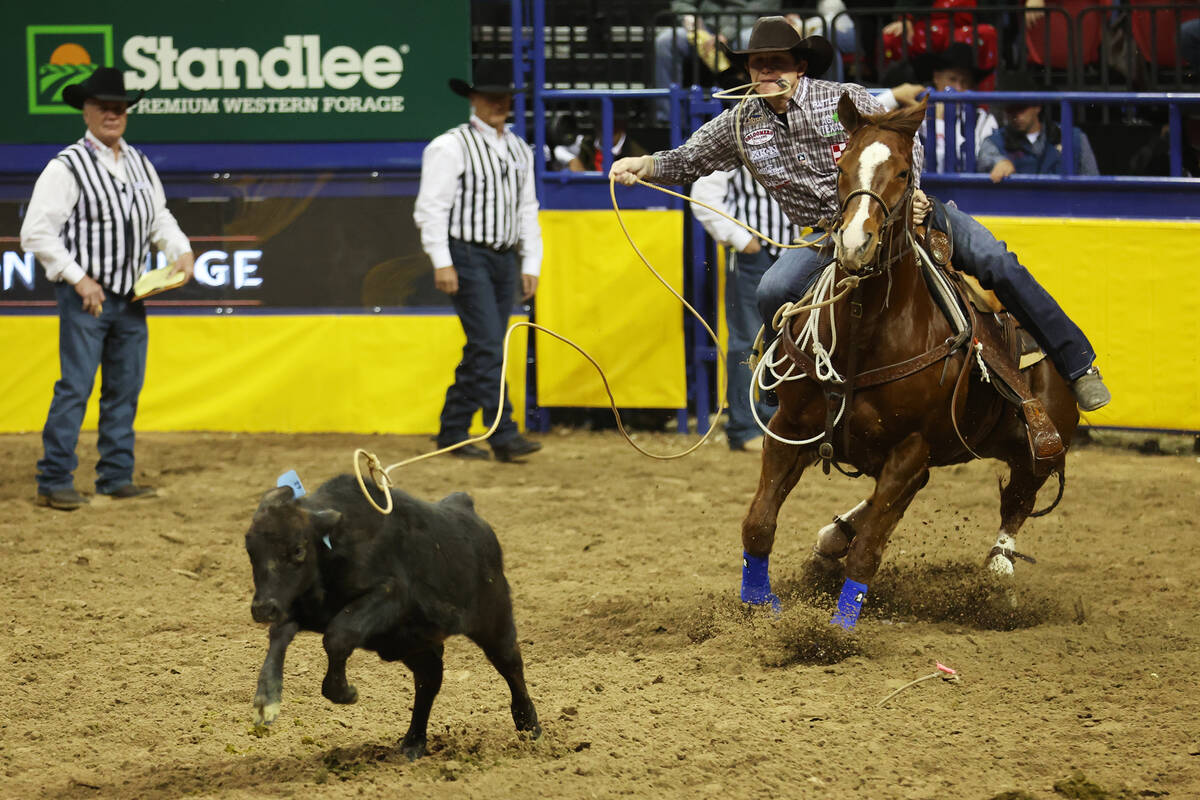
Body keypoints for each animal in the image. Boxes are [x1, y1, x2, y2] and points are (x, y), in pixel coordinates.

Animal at [734, 92, 1084, 618]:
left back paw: (998, 577)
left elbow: (868, 551)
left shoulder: (911, 449)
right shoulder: (789, 430)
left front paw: (835, 629)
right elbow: (759, 523)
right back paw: (829, 542)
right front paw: (755, 609)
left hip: (1035, 442)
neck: (864, 333)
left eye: (903, 172)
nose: (856, 243)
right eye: (841, 167)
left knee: (1018, 500)